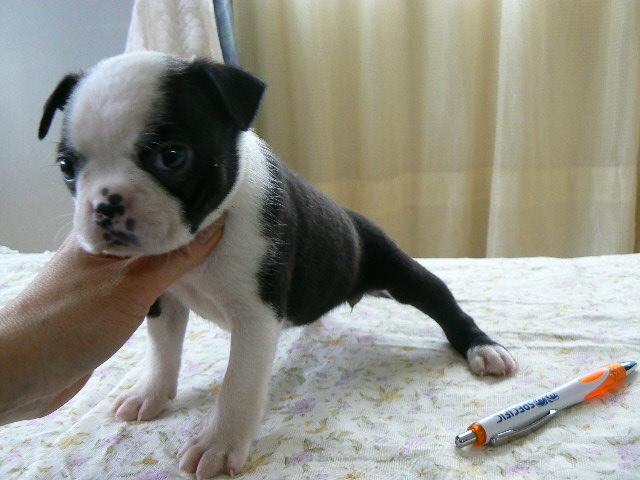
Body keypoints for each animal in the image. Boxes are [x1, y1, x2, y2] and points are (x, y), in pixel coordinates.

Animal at [39, 51, 516, 477]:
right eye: (65, 166)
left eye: (172, 156)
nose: (104, 206)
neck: (204, 234)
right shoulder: (162, 295)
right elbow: (162, 350)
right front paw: (151, 394)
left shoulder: (255, 315)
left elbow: (239, 383)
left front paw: (219, 444)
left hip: (394, 266)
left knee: (440, 300)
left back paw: (483, 348)